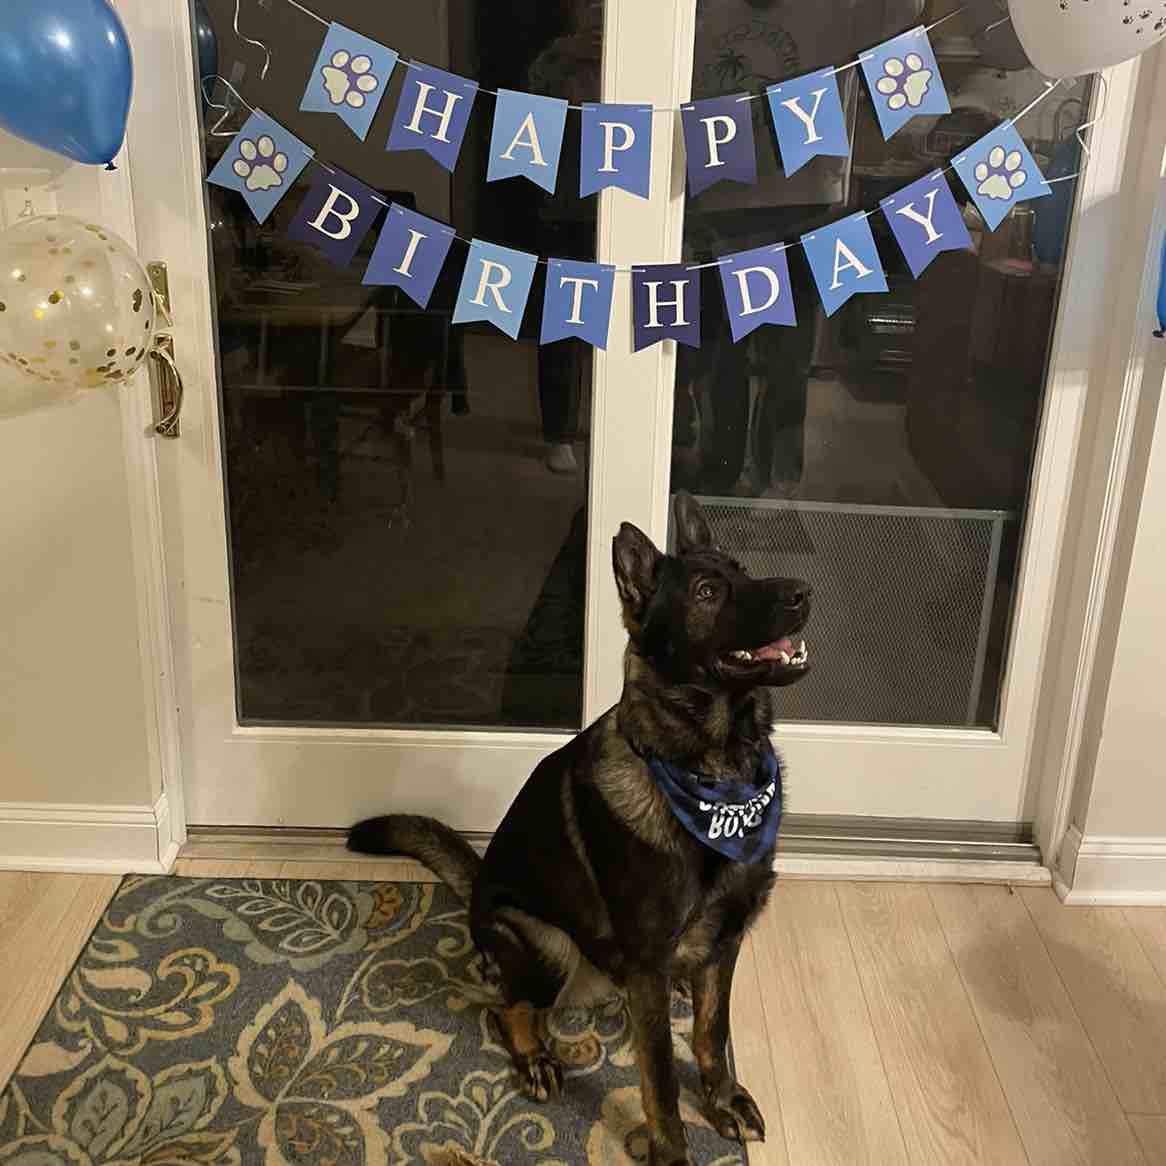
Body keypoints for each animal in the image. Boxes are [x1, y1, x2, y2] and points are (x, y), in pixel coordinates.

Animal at [349, 492, 811, 1166]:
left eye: (744, 572)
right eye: (706, 592)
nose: (804, 592)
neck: (713, 774)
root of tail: (478, 893)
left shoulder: (726, 940)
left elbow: (711, 1030)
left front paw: (722, 1099)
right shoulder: (646, 965)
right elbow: (658, 1078)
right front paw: (671, 1151)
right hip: (549, 946)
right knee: (510, 1008)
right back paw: (536, 1055)